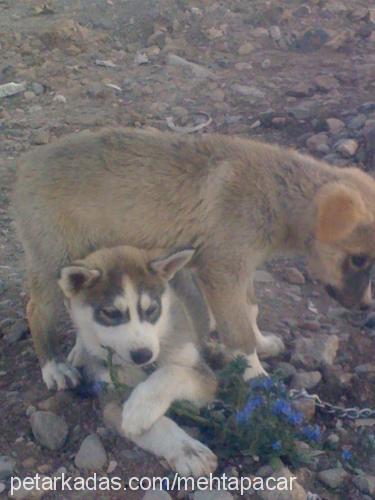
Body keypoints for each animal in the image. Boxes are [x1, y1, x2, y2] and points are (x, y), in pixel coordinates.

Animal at [58, 245, 217, 476]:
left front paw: (142, 406)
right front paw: (186, 450)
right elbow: (156, 426)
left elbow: (172, 372)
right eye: (110, 313)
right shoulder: (111, 397)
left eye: (151, 309)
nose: (144, 354)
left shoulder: (206, 377)